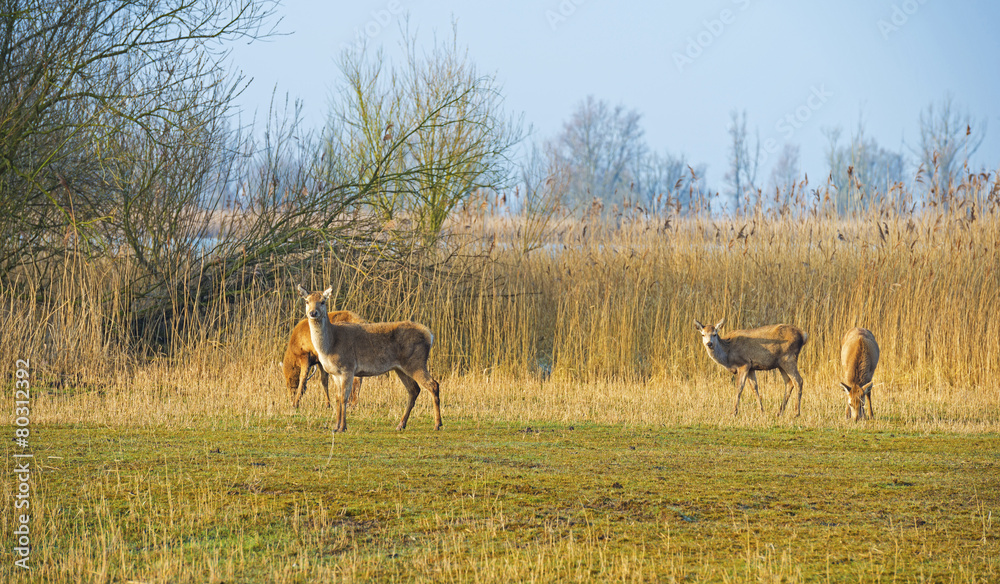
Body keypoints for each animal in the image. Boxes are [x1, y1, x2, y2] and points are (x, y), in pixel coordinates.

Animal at [297, 285, 441, 432]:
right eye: (307, 301)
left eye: (322, 301)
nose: (313, 313)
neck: (330, 345)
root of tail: (430, 335)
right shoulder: (335, 373)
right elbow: (337, 398)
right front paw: (335, 427)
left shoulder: (348, 367)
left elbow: (344, 398)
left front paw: (342, 427)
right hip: (401, 368)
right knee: (414, 390)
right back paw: (401, 424)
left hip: (416, 361)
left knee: (433, 385)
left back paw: (437, 424)